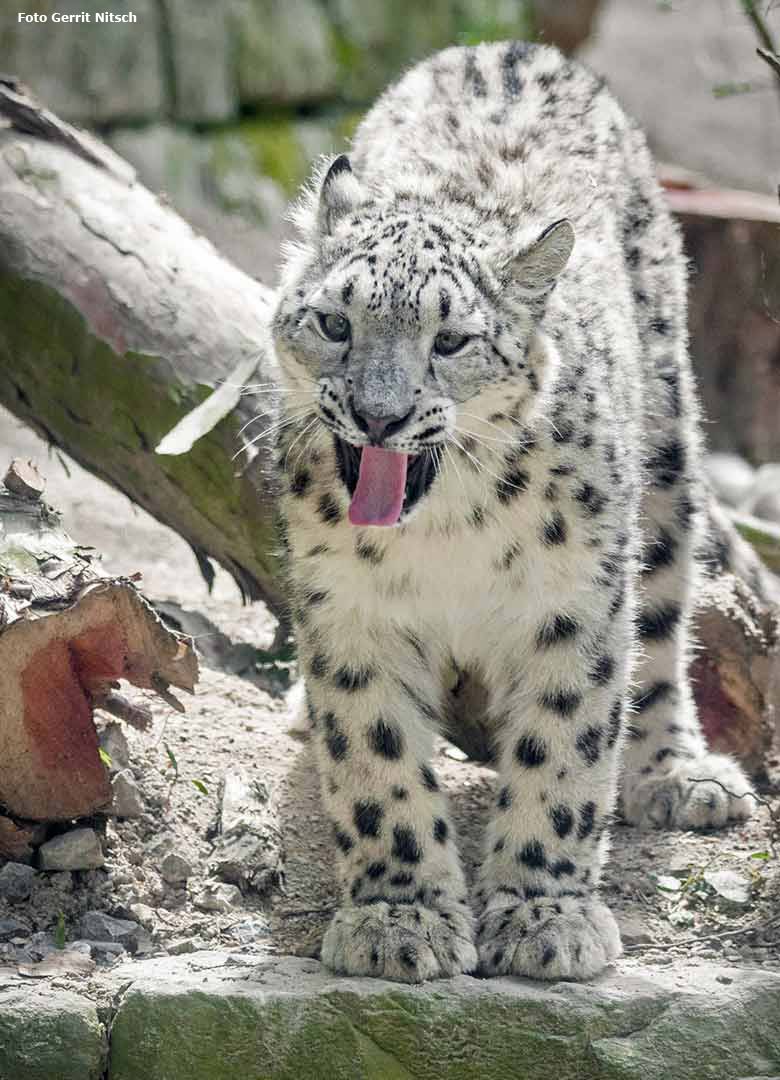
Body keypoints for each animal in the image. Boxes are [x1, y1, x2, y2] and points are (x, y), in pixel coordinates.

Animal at [267, 44, 751, 989]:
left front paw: (542, 914)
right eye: (336, 323)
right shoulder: (349, 611)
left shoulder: (572, 603)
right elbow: (376, 756)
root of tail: (508, 50)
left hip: (668, 453)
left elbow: (564, 747)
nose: (378, 414)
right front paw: (402, 919)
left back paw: (678, 773)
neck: (444, 534)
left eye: (451, 340)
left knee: (665, 630)